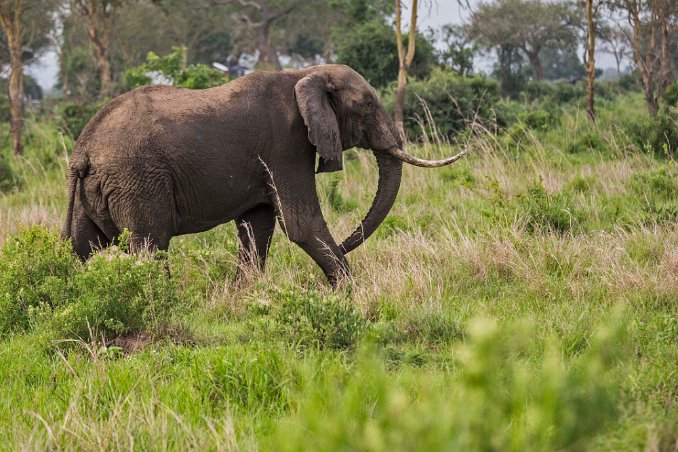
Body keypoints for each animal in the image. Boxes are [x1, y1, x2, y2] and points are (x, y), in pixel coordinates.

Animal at [62, 64, 468, 286]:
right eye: (367, 105)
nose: (347, 242)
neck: (304, 74)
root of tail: (82, 150)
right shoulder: (286, 146)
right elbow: (301, 223)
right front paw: (347, 296)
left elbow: (257, 225)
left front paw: (243, 296)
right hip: (138, 180)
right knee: (150, 244)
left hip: (96, 189)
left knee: (83, 247)